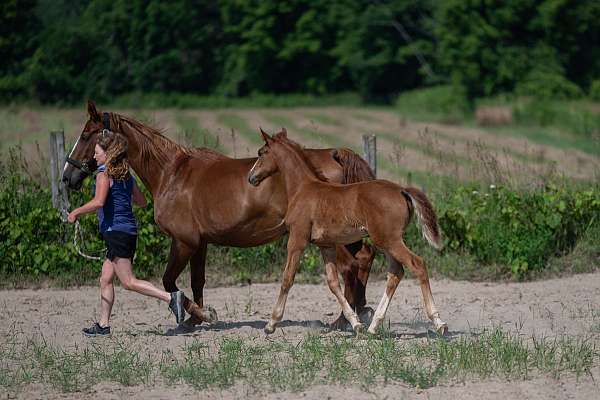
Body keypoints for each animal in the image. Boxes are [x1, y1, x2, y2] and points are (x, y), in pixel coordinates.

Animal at [63, 101, 378, 330]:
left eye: (86, 135)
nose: (68, 177)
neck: (171, 173)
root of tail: (336, 154)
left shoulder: (184, 241)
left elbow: (169, 281)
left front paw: (200, 314)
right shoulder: (200, 242)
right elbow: (196, 280)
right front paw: (195, 318)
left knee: (350, 266)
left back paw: (346, 318)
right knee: (363, 259)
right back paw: (359, 311)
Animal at [246, 129, 448, 334]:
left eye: (261, 152)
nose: (251, 177)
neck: (303, 188)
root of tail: (401, 190)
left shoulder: (297, 239)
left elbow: (287, 278)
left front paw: (271, 324)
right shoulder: (326, 245)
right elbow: (333, 282)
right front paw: (356, 323)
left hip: (388, 240)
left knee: (417, 264)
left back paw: (439, 323)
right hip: (386, 242)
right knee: (395, 273)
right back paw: (373, 326)